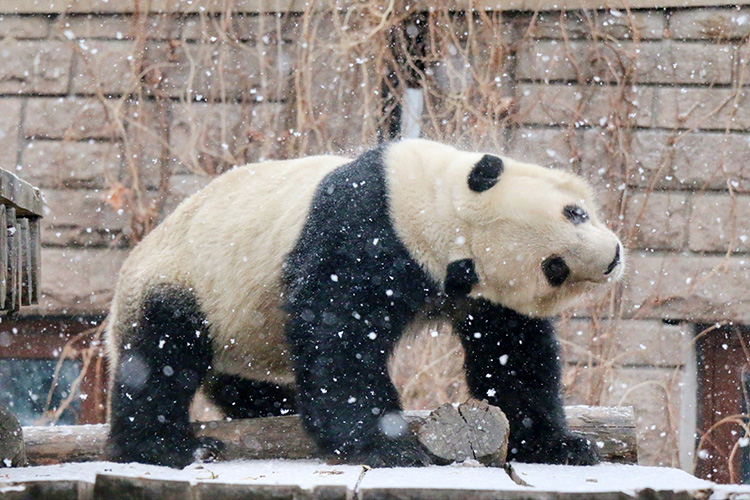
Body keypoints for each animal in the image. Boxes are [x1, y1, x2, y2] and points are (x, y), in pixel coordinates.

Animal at [104, 138, 624, 468]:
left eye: (574, 213)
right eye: (553, 267)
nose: (612, 259)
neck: (429, 209)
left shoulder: (473, 285)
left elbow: (509, 351)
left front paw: (557, 445)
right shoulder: (359, 237)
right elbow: (339, 337)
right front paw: (388, 448)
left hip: (244, 332)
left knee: (242, 382)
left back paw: (275, 407)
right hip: (180, 280)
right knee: (161, 355)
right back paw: (168, 447)